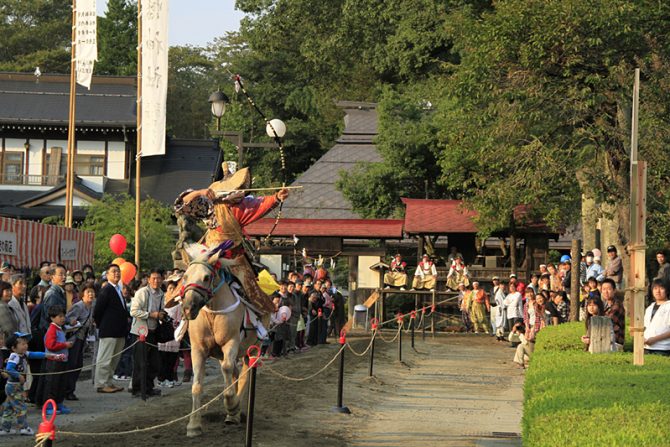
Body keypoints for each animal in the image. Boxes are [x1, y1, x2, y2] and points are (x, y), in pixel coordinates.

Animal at [178, 252, 260, 438]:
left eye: (206, 277)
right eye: (185, 276)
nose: (188, 308)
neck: (213, 314)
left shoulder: (231, 343)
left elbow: (228, 371)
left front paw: (232, 405)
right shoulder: (198, 350)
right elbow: (196, 385)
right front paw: (193, 425)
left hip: (252, 348)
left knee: (244, 374)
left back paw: (235, 411)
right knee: (235, 373)